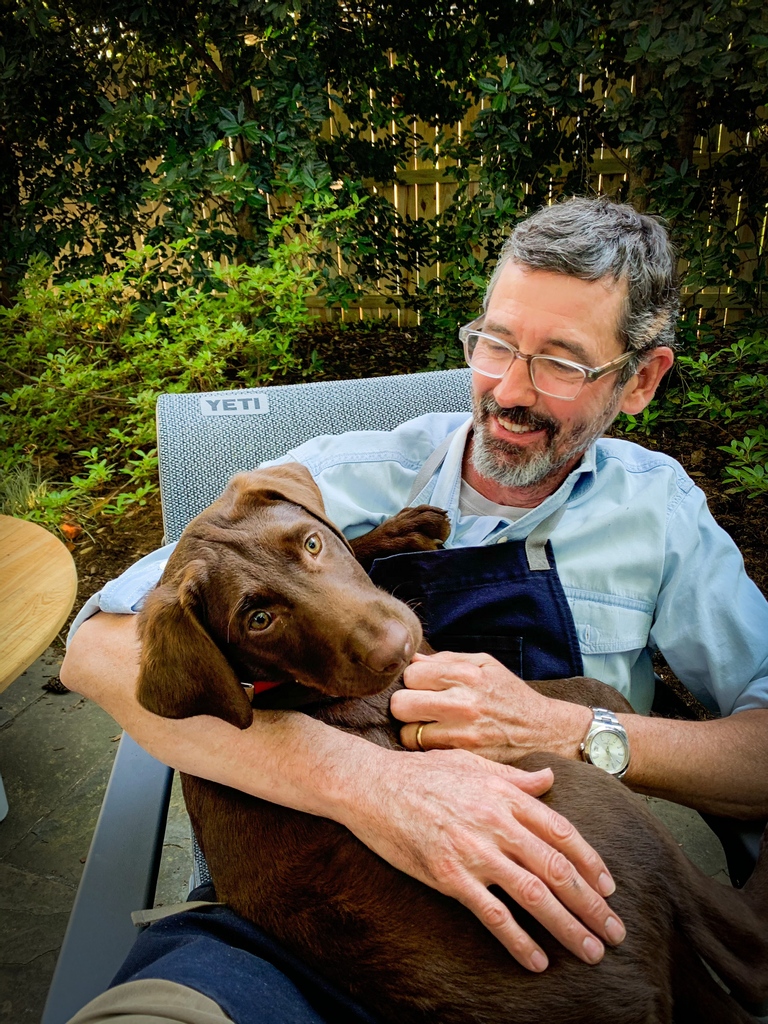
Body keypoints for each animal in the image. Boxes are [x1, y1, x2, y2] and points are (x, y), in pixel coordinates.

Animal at [138, 466, 768, 1024]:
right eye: (259, 620)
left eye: (312, 543)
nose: (393, 649)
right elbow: (601, 692)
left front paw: (399, 532)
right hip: (587, 801)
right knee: (748, 943)